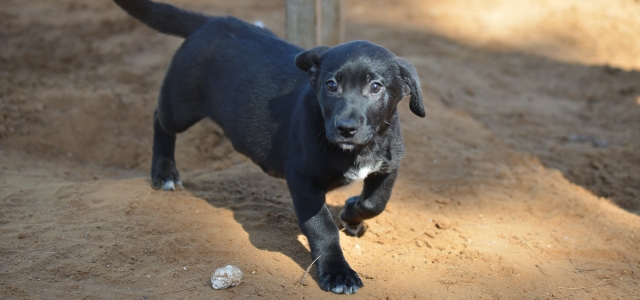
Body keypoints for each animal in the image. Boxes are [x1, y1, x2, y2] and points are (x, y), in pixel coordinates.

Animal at [114, 0, 424, 296]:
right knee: (160, 120)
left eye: (376, 87)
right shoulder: (303, 180)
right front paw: (337, 273)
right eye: (331, 85)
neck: (357, 150)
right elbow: (322, 228)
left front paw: (350, 214)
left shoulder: (389, 165)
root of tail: (211, 21)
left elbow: (375, 203)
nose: (345, 128)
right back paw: (164, 172)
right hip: (181, 103)